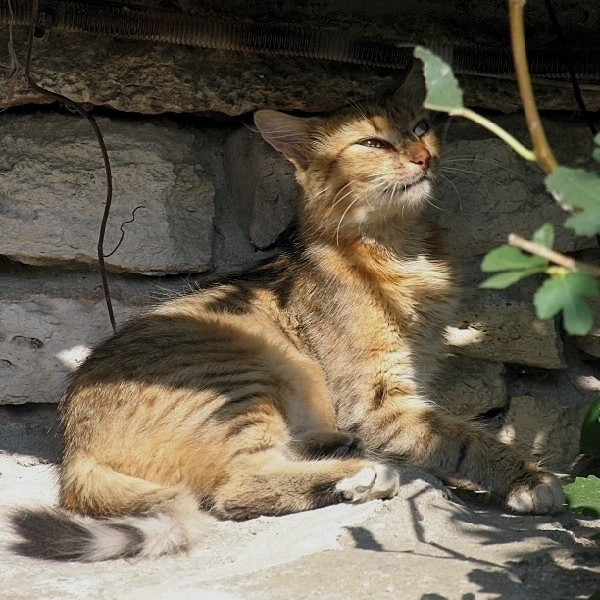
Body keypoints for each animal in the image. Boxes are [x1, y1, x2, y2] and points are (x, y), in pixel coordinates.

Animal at [9, 70, 564, 564]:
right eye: (372, 143)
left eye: (421, 127)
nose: (423, 157)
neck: (399, 247)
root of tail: (74, 449)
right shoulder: (378, 402)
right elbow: (462, 438)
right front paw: (528, 479)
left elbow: (448, 432)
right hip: (245, 378)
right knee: (237, 489)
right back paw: (358, 473)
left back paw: (335, 447)